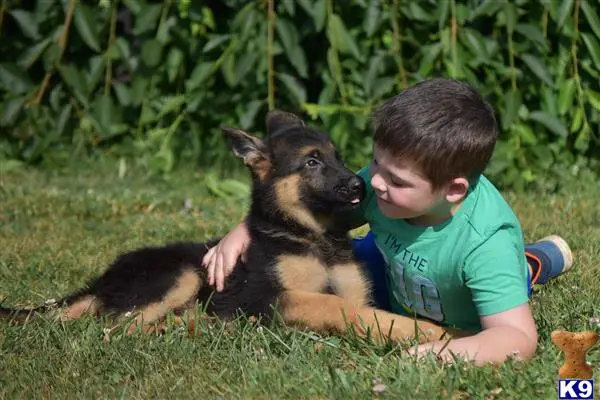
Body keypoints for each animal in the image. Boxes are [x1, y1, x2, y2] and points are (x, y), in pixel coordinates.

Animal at [0, 111, 448, 346]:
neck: (312, 236)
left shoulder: (355, 292)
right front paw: (424, 331)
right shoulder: (271, 297)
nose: (359, 187)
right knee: (118, 328)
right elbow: (334, 306)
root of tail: (101, 281)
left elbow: (365, 311)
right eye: (312, 162)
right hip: (182, 272)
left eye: (338, 157)